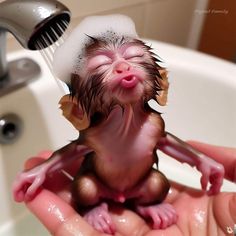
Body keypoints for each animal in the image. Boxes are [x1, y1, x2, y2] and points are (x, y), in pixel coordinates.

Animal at [12, 15, 225, 234]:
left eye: (133, 56)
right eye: (100, 64)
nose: (123, 67)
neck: (127, 119)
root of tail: (120, 197)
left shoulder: (157, 126)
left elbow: (170, 143)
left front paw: (211, 168)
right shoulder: (91, 136)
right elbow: (69, 153)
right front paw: (33, 175)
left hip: (145, 185)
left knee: (155, 183)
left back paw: (153, 207)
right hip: (93, 187)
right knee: (86, 186)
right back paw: (95, 213)